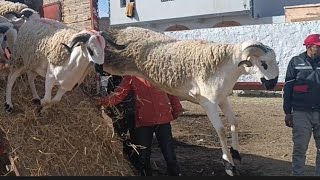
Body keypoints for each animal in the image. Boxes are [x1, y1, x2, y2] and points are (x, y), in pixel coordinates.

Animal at [104, 26, 278, 176]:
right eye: (263, 63)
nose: (273, 83)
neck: (225, 66)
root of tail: (122, 30)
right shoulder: (208, 103)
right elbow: (221, 131)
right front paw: (229, 166)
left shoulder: (222, 99)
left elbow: (234, 122)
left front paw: (236, 153)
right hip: (113, 64)